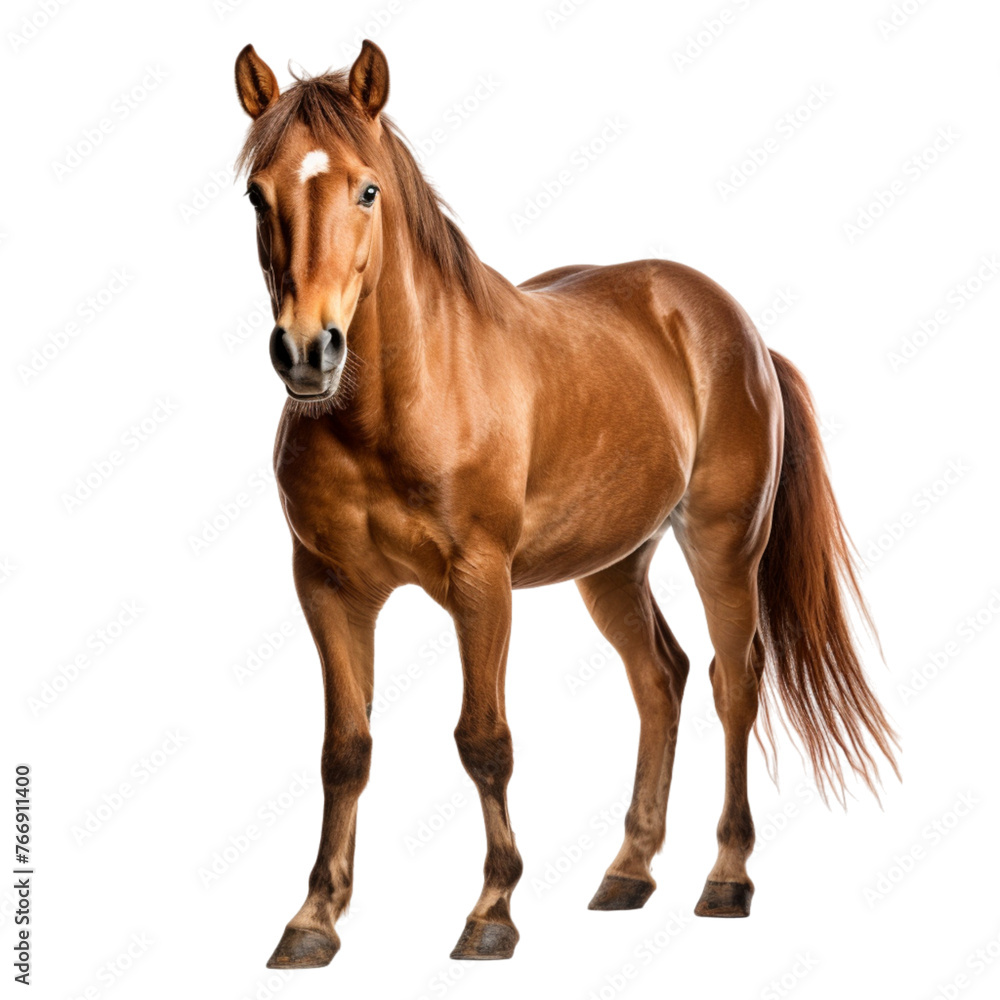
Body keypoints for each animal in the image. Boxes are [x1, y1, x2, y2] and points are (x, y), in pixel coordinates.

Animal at [232, 40, 899, 968]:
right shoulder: (328, 588)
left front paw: (493, 911)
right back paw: (629, 870)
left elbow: (484, 741)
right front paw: (313, 920)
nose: (307, 351)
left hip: (725, 546)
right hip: (613, 565)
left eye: (367, 190)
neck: (394, 407)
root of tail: (740, 331)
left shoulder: (481, 585)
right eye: (259, 194)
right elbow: (345, 751)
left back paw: (726, 878)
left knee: (734, 680)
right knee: (661, 677)